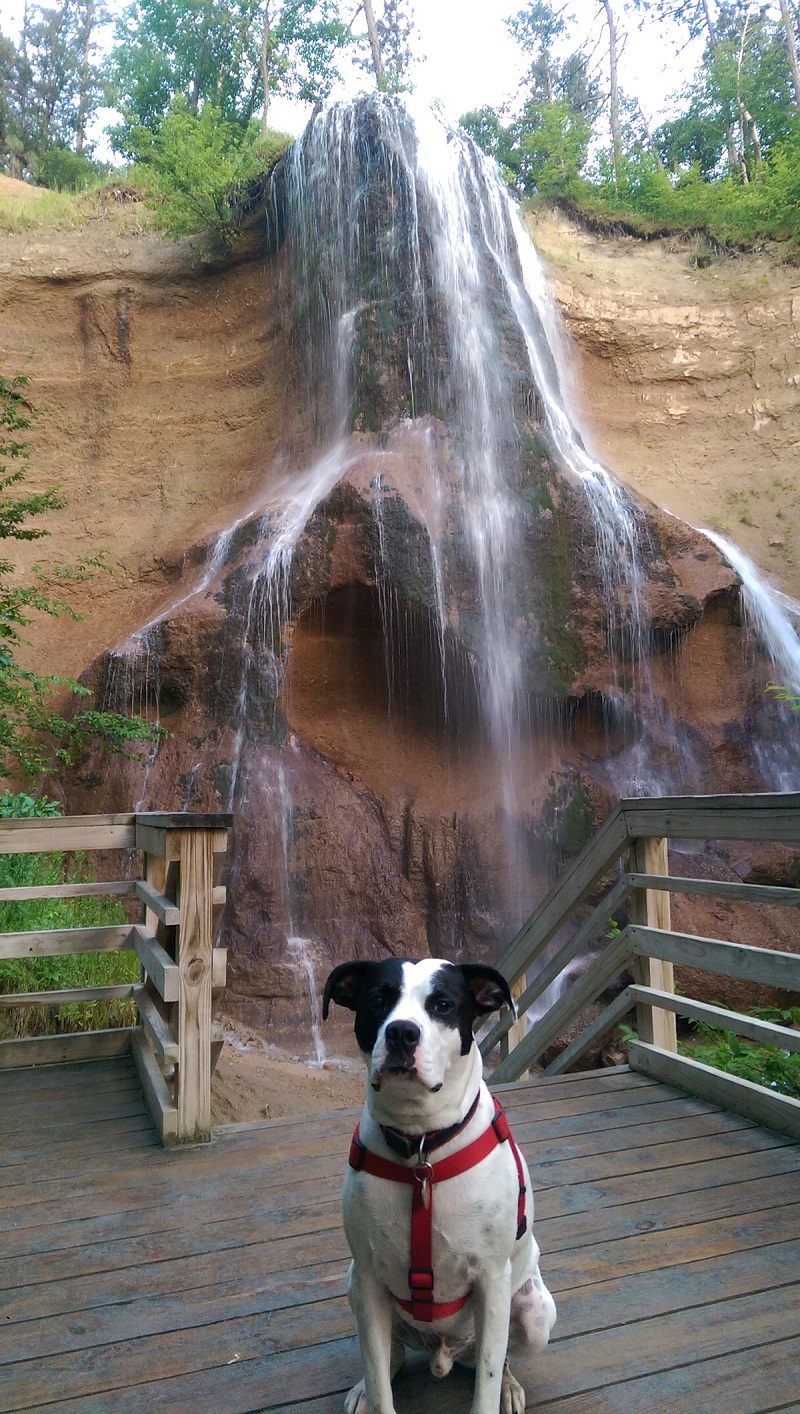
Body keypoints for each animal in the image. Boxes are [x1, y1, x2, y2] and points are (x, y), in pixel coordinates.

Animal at [325, 961, 556, 1414]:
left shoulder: (491, 1280)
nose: (401, 1032)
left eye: (442, 1005)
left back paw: (509, 1386)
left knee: (500, 1356)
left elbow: (487, 1378)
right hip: (353, 1284)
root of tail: (444, 1349)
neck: (421, 1147)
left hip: (534, 1312)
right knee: (388, 1353)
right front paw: (372, 1390)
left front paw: (496, 1390)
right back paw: (365, 1386)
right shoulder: (369, 1279)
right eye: (377, 999)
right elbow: (378, 1376)